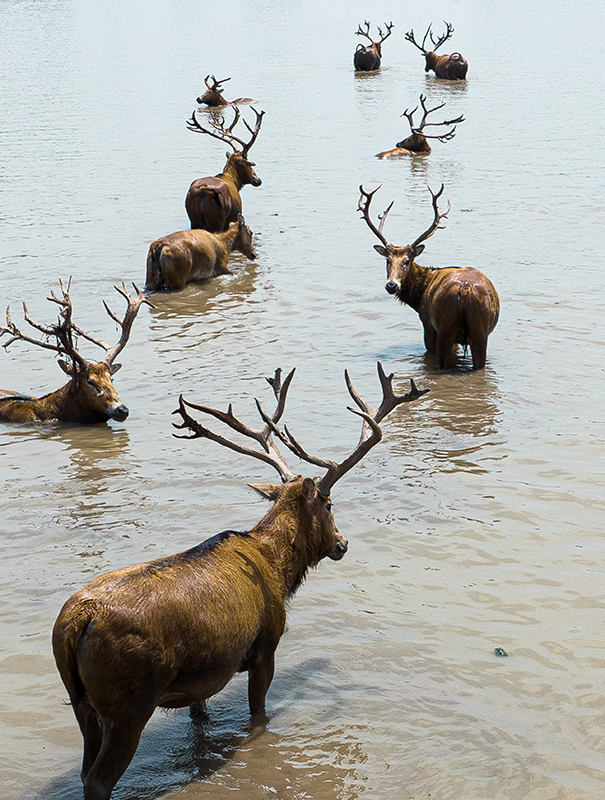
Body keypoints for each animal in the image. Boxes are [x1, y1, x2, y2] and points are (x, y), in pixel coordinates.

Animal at [52, 363, 429, 800]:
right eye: (330, 504)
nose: (342, 543)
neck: (279, 569)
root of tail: (77, 620)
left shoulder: (201, 676)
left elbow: (200, 717)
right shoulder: (265, 646)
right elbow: (259, 713)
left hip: (81, 703)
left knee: (84, 767)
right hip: (129, 703)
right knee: (97, 779)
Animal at [358, 184, 499, 370]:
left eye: (407, 261)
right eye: (387, 260)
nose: (391, 285)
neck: (419, 296)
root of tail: (465, 288)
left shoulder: (427, 323)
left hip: (444, 328)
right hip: (480, 332)